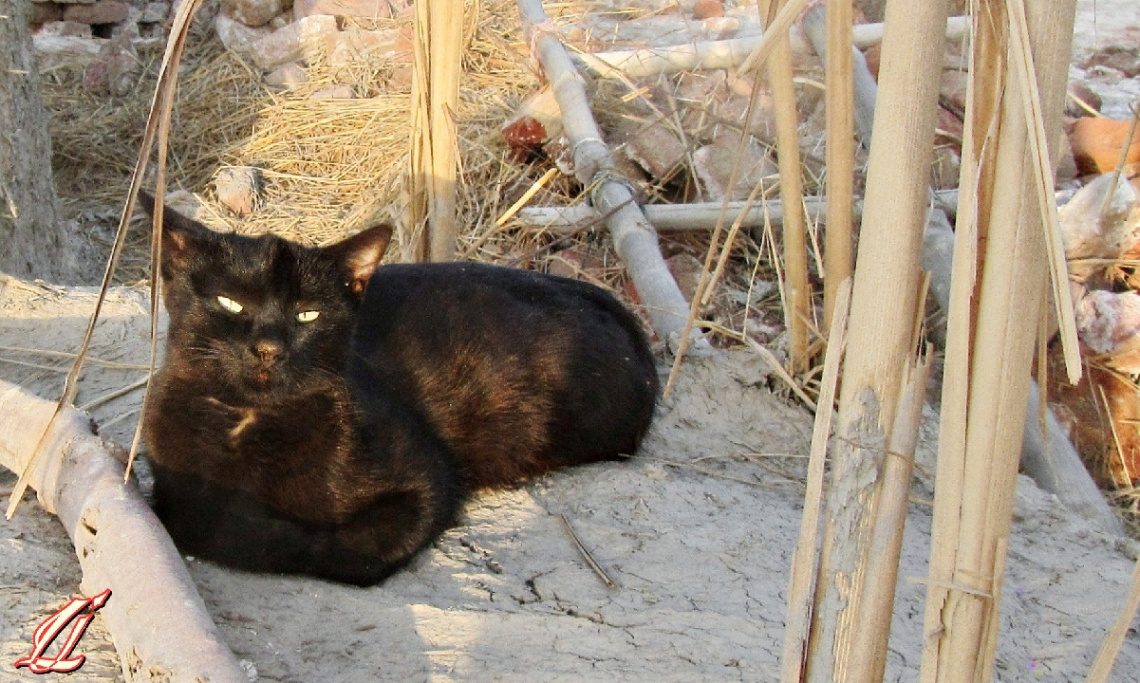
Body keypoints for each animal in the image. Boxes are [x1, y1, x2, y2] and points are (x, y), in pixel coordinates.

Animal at [136, 193, 661, 588]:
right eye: (230, 303)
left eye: (307, 315)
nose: (268, 349)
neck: (248, 423)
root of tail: (615, 304)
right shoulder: (171, 475)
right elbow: (201, 512)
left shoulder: (428, 481)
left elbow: (339, 549)